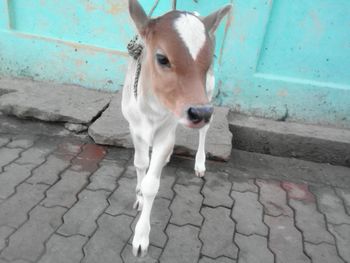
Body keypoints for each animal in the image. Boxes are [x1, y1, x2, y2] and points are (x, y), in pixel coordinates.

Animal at [121, 0, 231, 256]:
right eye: (162, 58)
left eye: (209, 60)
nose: (200, 113)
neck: (152, 111)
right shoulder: (134, 126)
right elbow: (140, 164)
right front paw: (138, 195)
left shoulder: (168, 129)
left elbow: (152, 185)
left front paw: (141, 238)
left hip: (207, 95)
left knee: (202, 133)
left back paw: (199, 163)